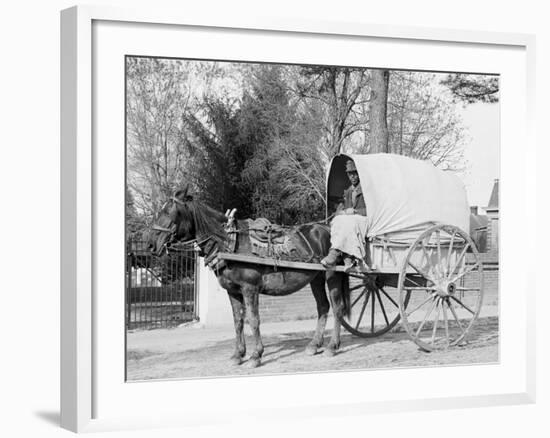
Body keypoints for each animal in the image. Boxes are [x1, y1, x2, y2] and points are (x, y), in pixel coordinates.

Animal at [149, 186, 352, 368]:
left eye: (171, 212)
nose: (151, 244)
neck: (228, 243)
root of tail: (327, 227)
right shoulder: (233, 291)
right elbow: (238, 321)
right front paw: (238, 355)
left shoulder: (250, 288)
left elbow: (254, 320)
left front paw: (256, 356)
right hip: (316, 278)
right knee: (323, 307)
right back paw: (314, 345)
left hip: (332, 274)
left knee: (337, 308)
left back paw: (332, 346)